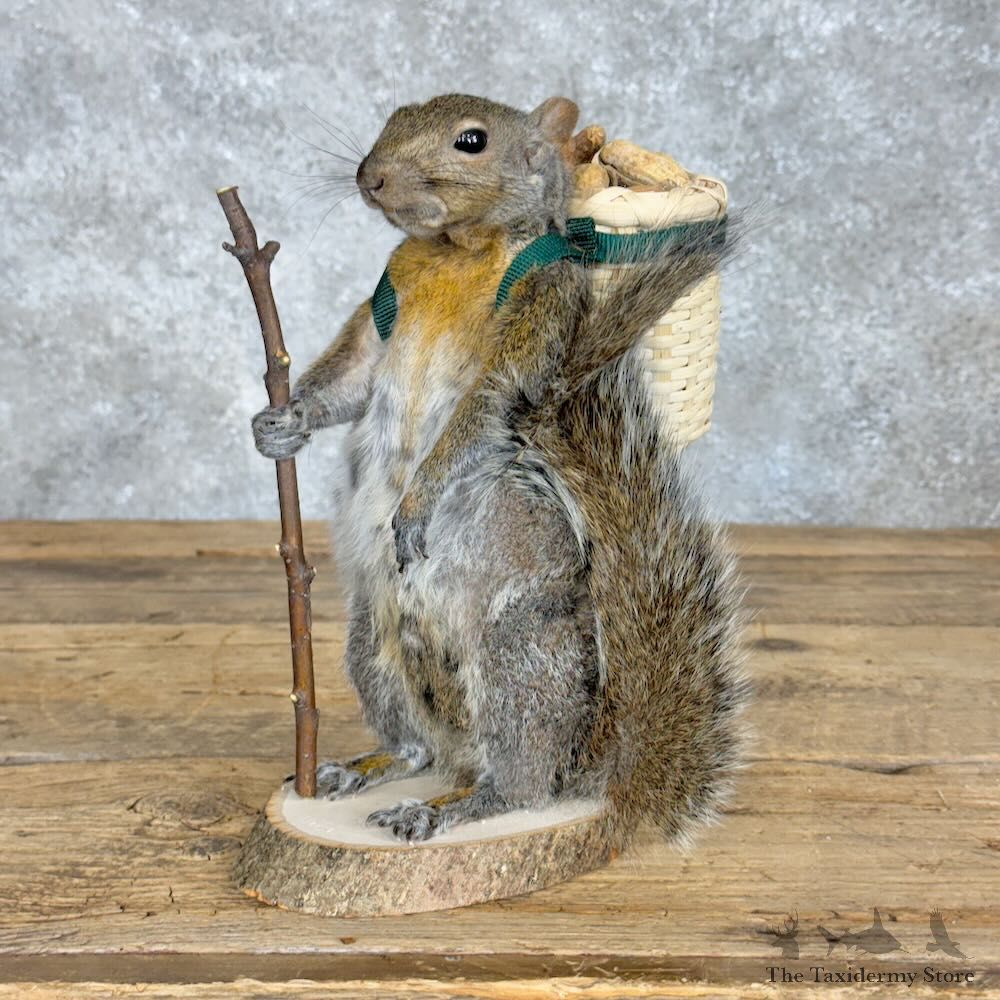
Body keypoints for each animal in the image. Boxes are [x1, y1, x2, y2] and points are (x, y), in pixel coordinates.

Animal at [252, 93, 748, 849]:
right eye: (392, 116)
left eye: (472, 141)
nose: (371, 177)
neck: (456, 252)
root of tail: (586, 768)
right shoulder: (385, 302)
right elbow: (352, 378)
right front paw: (283, 422)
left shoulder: (541, 301)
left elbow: (480, 410)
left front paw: (414, 507)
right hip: (371, 642)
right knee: (416, 747)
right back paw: (364, 768)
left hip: (517, 658)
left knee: (519, 787)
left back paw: (445, 808)